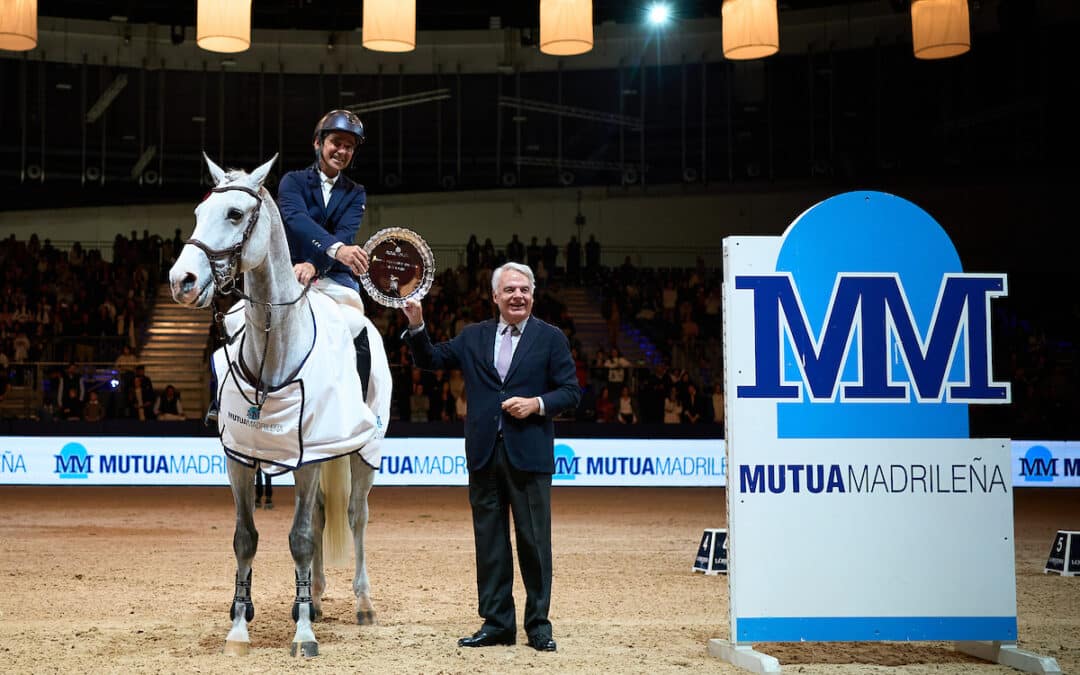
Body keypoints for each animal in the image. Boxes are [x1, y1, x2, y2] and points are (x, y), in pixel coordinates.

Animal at [166, 155, 390, 656]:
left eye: (234, 214)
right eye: (197, 213)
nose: (181, 281)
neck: (275, 346)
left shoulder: (308, 459)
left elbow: (302, 539)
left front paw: (303, 635)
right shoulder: (239, 458)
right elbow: (245, 539)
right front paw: (238, 628)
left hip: (364, 452)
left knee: (356, 517)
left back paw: (363, 604)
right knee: (325, 515)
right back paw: (317, 599)